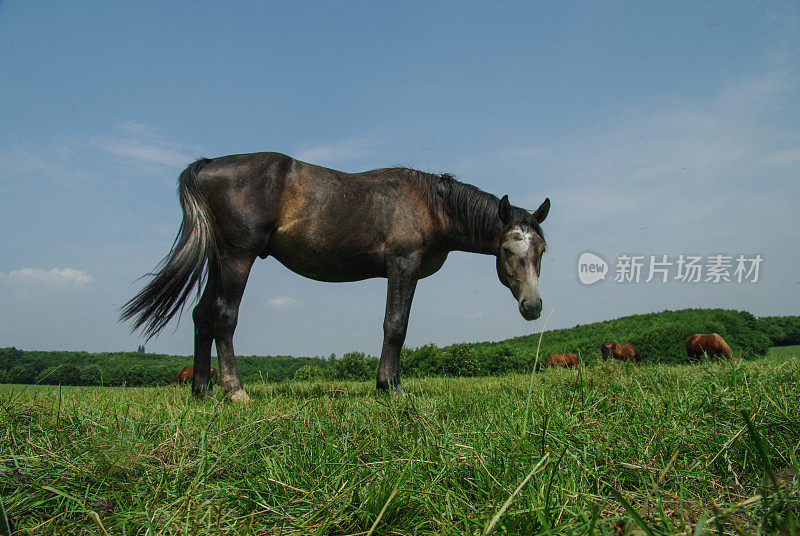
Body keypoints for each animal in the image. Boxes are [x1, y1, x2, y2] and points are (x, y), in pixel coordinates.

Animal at [120, 153, 552, 400]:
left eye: (542, 250)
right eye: (508, 250)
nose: (533, 306)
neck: (430, 205)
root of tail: (208, 165)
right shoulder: (402, 267)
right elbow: (395, 325)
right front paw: (389, 387)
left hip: (219, 259)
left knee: (203, 315)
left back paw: (202, 390)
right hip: (237, 257)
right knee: (224, 316)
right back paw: (235, 391)